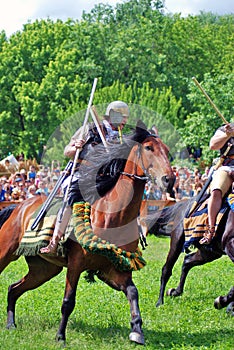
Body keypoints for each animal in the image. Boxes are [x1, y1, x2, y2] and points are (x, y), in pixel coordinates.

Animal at [0, 121, 174, 346]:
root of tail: (18, 206)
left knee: (13, 289)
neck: (110, 215)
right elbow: (68, 301)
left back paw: (11, 324)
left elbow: (133, 292)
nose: (169, 180)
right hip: (6, 253)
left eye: (167, 151)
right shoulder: (75, 265)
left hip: (44, 269)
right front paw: (60, 336)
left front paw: (137, 331)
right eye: (148, 148)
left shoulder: (113, 270)